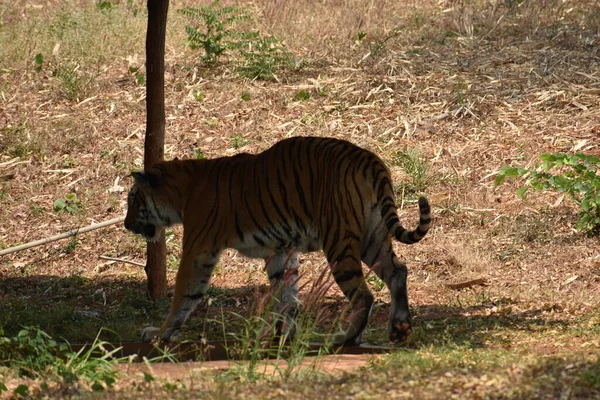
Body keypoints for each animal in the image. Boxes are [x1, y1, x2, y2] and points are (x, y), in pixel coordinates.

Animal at [124, 136, 428, 346]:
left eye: (132, 198)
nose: (126, 224)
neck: (182, 191)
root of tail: (368, 158)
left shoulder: (198, 250)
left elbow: (183, 295)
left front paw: (160, 333)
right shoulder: (280, 251)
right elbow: (287, 296)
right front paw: (282, 336)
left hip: (339, 240)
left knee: (364, 295)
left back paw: (346, 338)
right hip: (372, 235)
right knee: (398, 271)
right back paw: (399, 329)